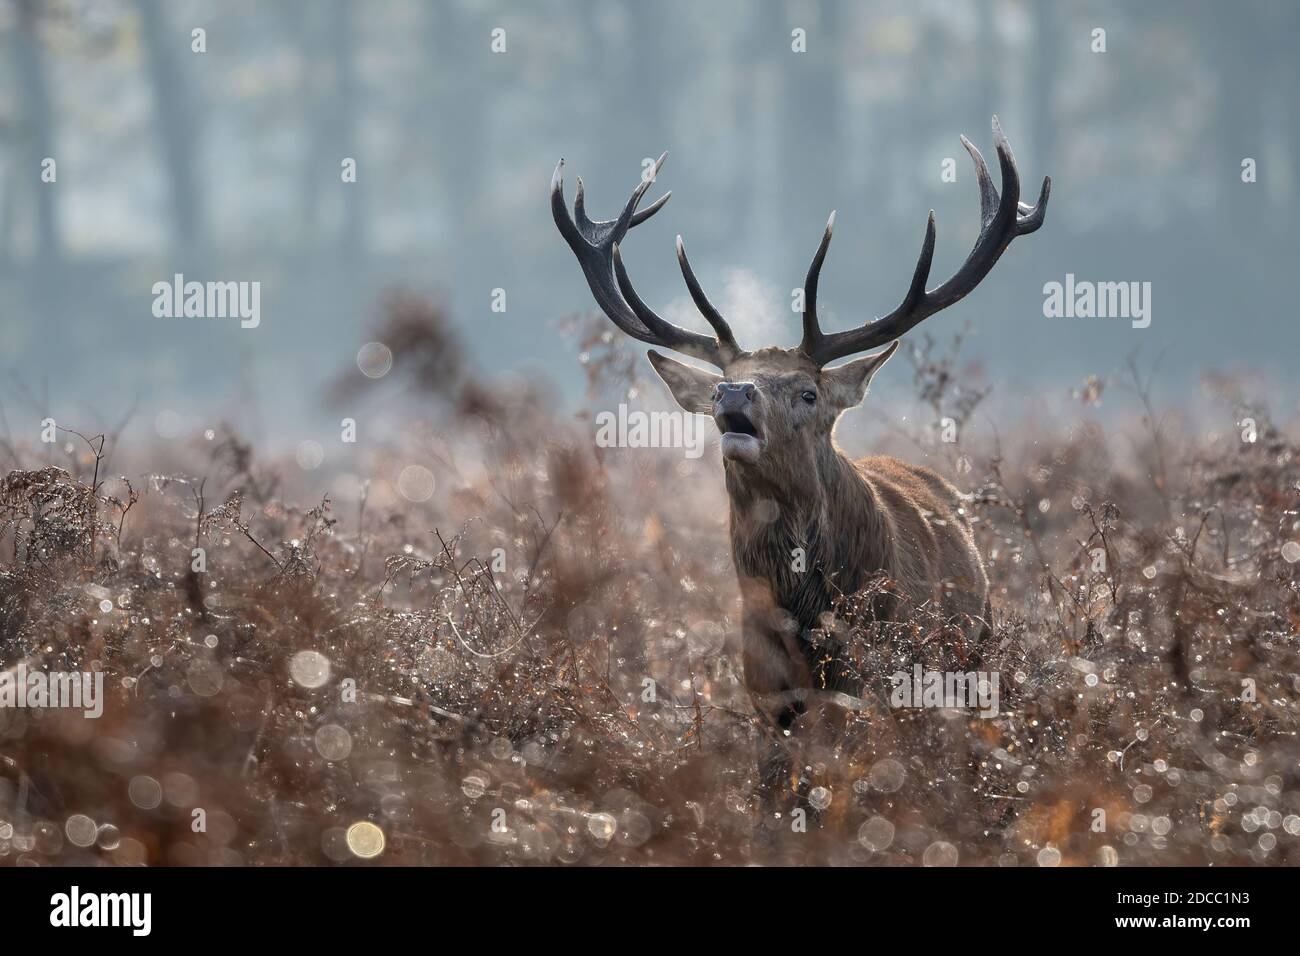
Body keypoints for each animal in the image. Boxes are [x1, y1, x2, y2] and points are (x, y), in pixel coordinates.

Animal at [552, 117, 1049, 801]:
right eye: (718, 386)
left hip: (974, 652)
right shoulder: (766, 695)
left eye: (808, 392)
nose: (734, 394)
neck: (810, 619)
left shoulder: (882, 681)